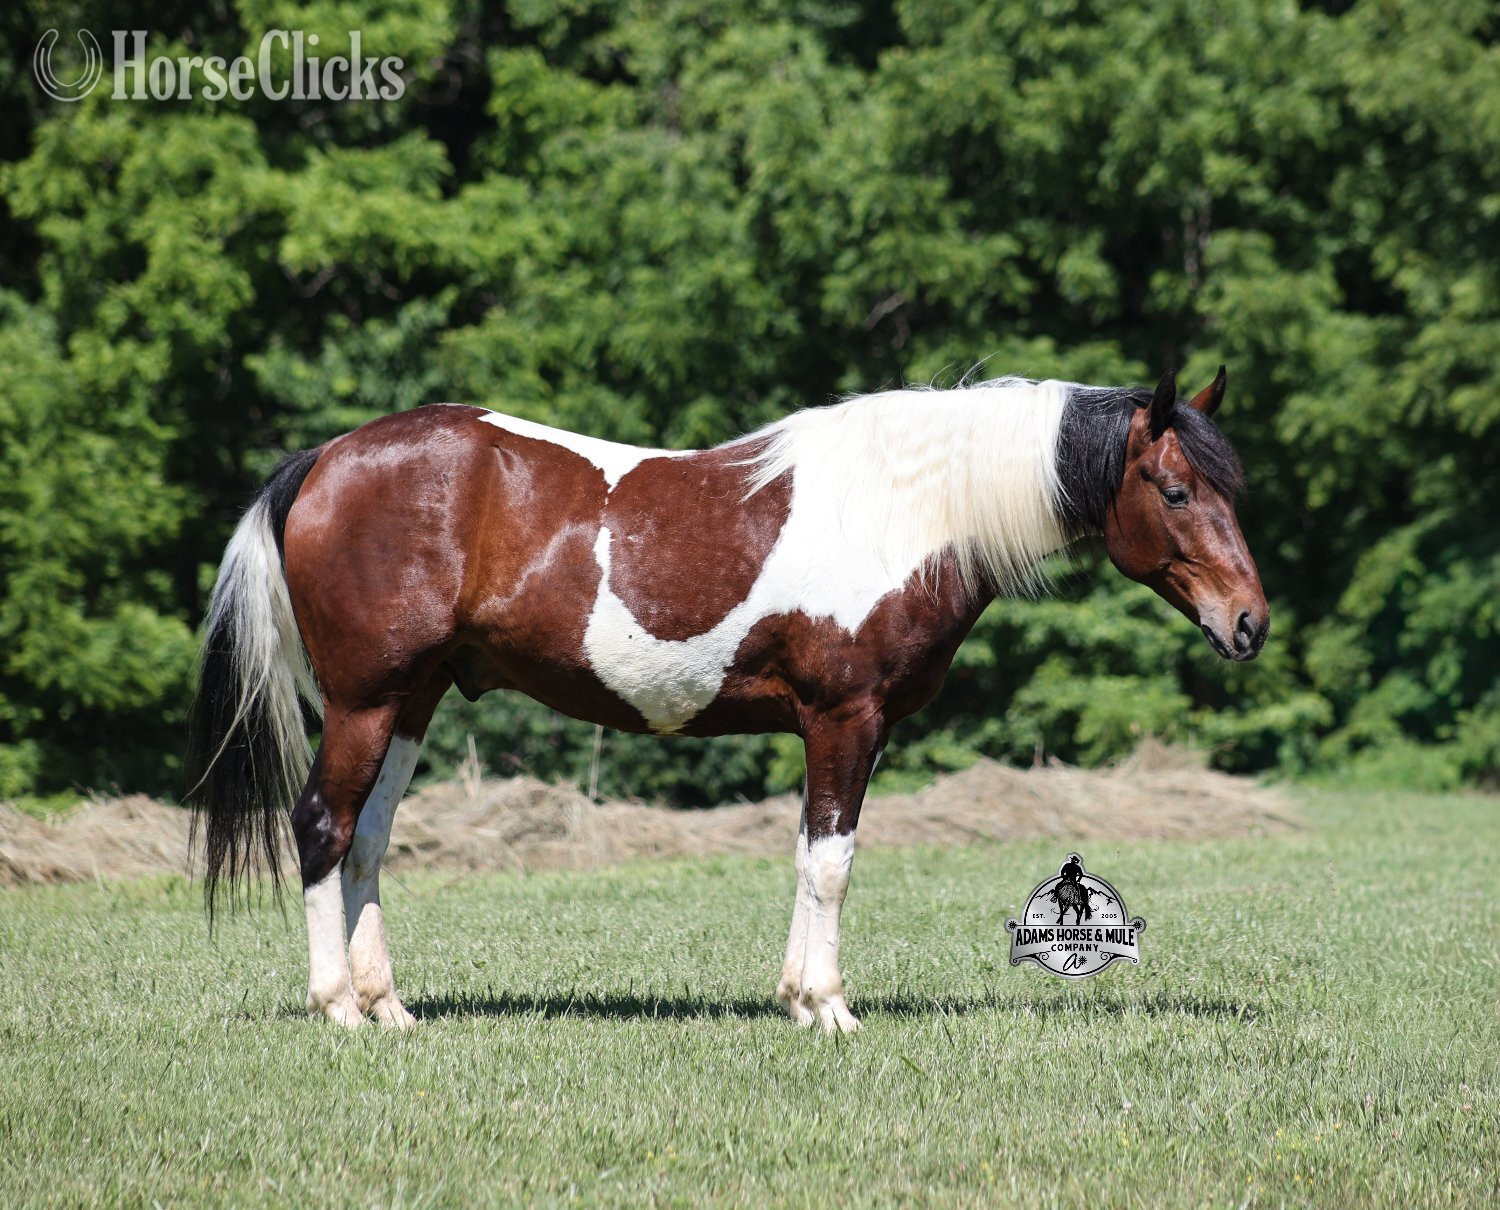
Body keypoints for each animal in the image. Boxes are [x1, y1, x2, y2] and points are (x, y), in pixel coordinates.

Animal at [186, 367, 1267, 1033]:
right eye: (1176, 490)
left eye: (1233, 487)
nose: (1250, 622)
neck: (903, 513)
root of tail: (325, 460)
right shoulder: (844, 718)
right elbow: (831, 863)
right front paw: (829, 1007)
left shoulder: (836, 729)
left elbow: (807, 855)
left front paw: (796, 997)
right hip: (366, 701)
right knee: (322, 826)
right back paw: (336, 1004)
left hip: (413, 701)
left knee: (367, 840)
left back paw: (388, 1006)